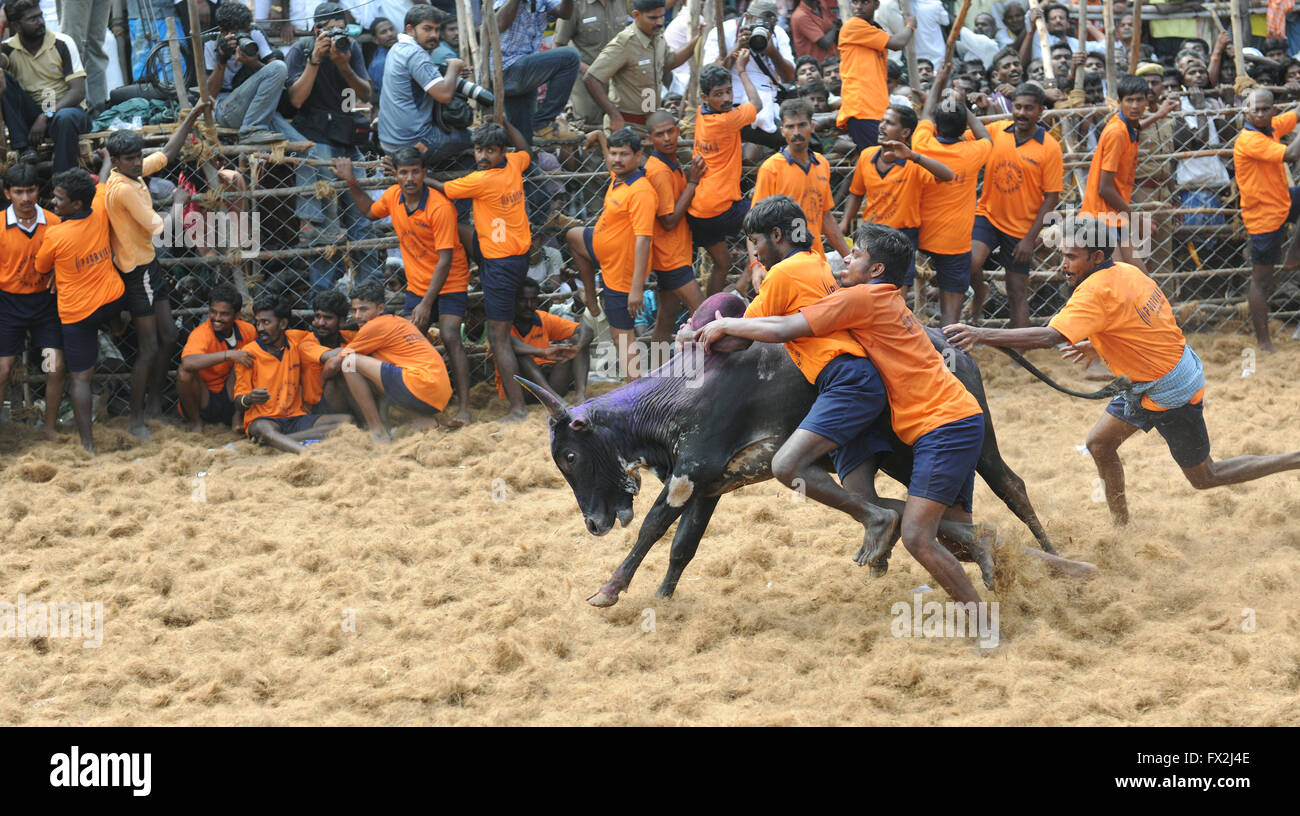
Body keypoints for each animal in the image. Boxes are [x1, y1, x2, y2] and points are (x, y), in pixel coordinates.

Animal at [522, 293, 1060, 605]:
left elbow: (652, 529)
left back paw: (1050, 554)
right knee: (927, 509)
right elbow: (682, 546)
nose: (594, 523)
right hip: (900, 458)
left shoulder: (689, 474)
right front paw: (664, 595)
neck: (675, 395)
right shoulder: (710, 486)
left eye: (569, 456)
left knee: (1010, 486)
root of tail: (951, 340)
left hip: (969, 440)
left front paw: (609, 590)